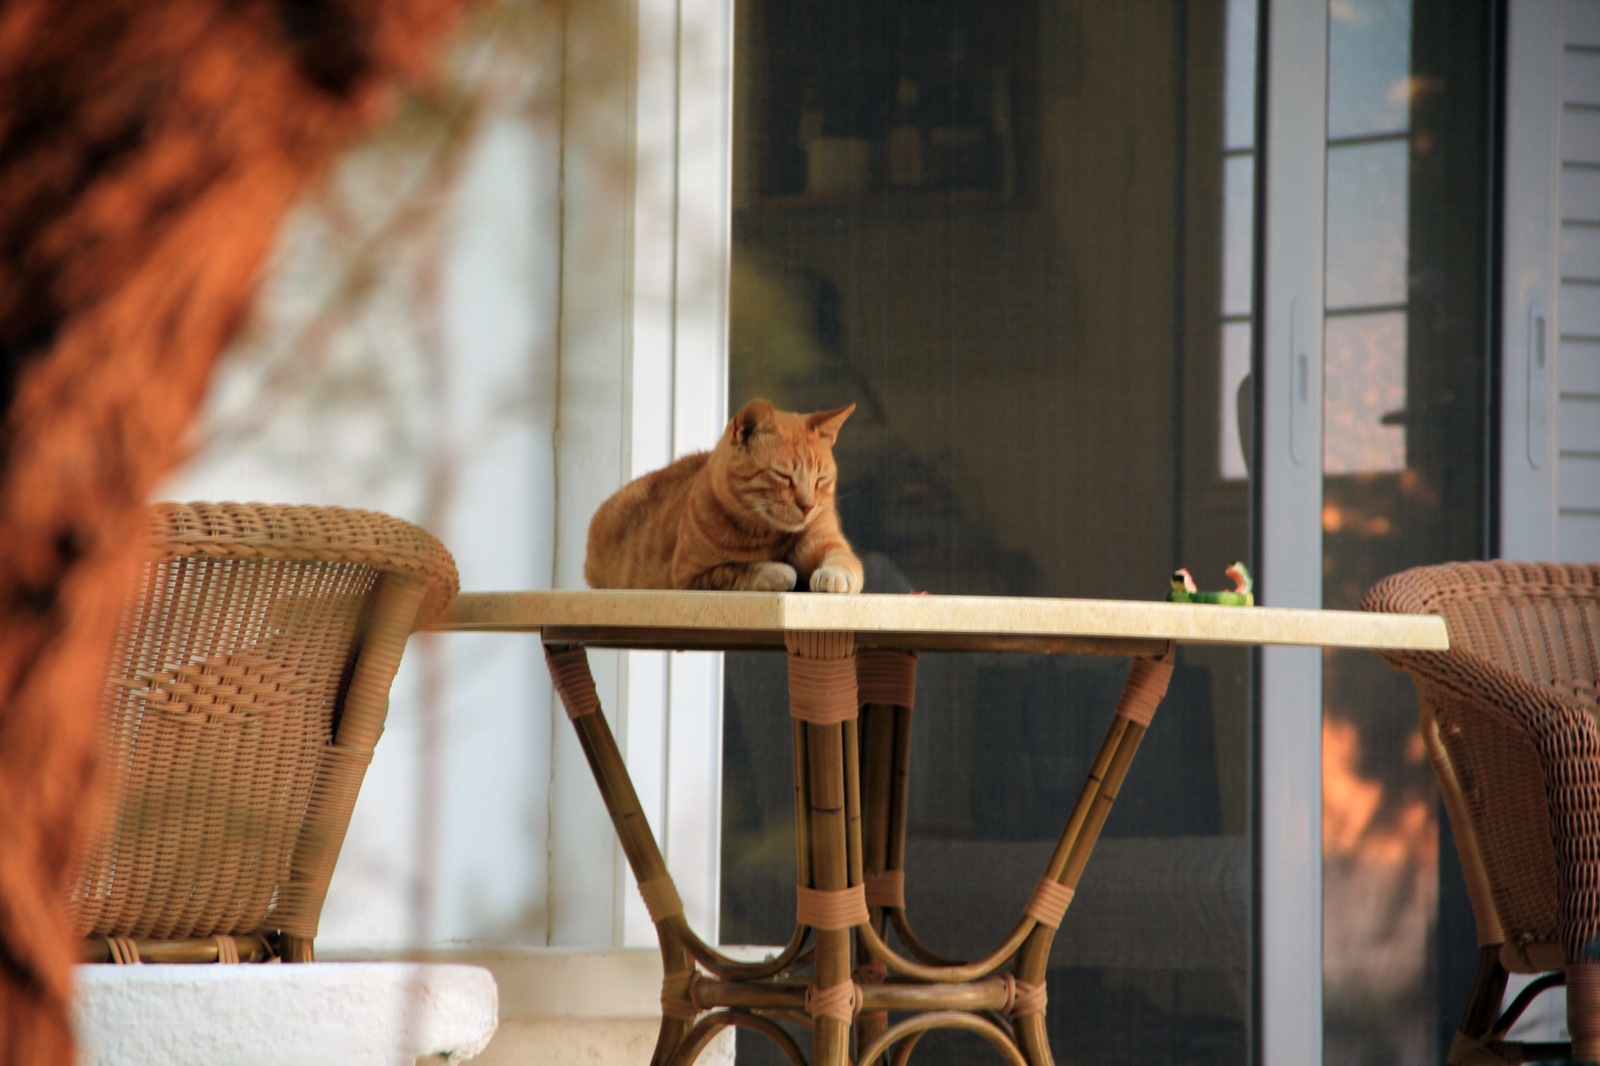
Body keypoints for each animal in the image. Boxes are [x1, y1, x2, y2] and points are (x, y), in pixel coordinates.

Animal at [585, 400, 864, 589]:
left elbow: (844, 561)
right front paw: (778, 572)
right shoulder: (691, 578)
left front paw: (834, 576)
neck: (766, 534)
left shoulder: (828, 543)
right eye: (783, 476)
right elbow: (738, 570)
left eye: (821, 479)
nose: (808, 506)